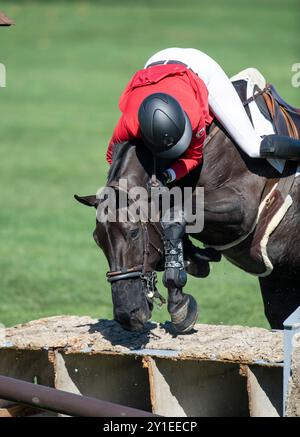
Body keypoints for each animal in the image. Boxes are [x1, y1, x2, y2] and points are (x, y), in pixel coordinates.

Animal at [76, 80, 300, 330]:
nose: (127, 315)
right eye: (97, 240)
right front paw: (192, 259)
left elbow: (175, 215)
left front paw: (180, 306)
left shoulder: (243, 208)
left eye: (134, 232)